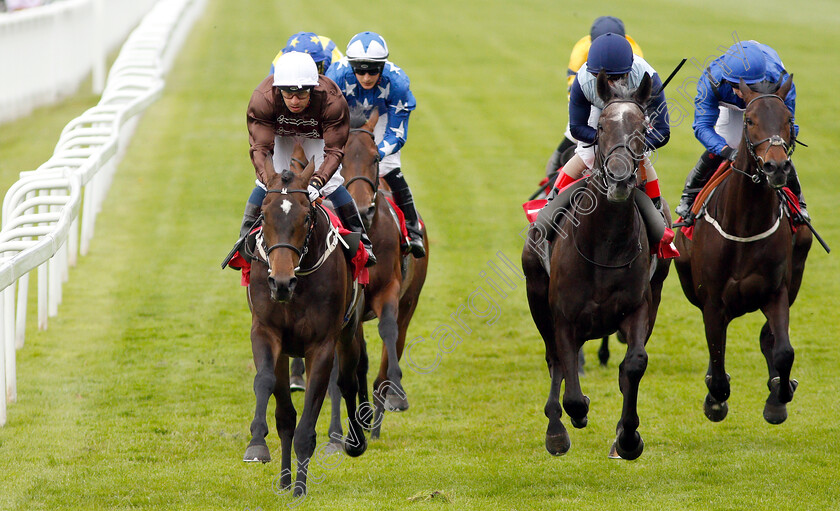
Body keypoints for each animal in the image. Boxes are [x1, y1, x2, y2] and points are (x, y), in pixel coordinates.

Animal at [246, 159, 370, 496]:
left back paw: (355, 442)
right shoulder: (266, 333)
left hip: (348, 333)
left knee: (348, 381)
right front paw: (259, 447)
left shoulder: (322, 345)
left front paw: (300, 489)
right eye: (264, 215)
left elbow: (309, 418)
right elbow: (270, 391)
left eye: (305, 217)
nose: (281, 282)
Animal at [328, 110, 430, 442]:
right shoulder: (352, 307)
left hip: (411, 300)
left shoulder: (390, 290)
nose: (362, 208)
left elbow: (388, 332)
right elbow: (353, 362)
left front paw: (394, 394)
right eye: (341, 159)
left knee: (396, 338)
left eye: (375, 158)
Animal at [672, 76, 812, 426]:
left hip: (797, 272)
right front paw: (715, 401)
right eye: (750, 121)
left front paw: (780, 395)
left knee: (768, 338)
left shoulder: (776, 291)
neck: (746, 224)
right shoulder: (711, 300)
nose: (777, 167)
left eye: (788, 119)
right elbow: (717, 357)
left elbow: (783, 350)